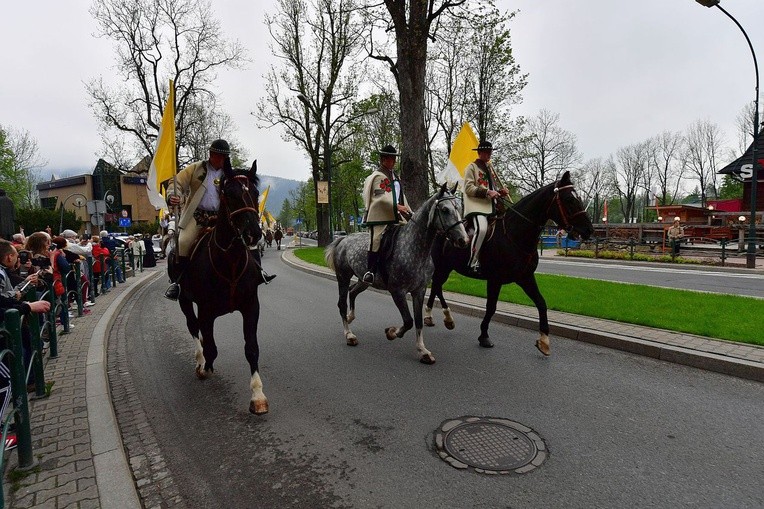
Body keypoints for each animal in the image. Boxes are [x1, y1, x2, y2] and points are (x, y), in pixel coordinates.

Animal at [174, 161, 272, 414]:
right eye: (230, 194)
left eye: (255, 193)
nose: (253, 234)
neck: (229, 262)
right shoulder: (206, 311)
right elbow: (210, 346)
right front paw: (205, 367)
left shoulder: (251, 306)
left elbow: (251, 348)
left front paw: (258, 396)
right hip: (184, 300)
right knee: (193, 327)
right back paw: (200, 361)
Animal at [324, 185, 468, 364]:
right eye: (445, 209)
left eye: (459, 208)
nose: (464, 240)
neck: (414, 249)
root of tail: (342, 239)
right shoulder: (397, 291)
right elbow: (408, 321)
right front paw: (392, 332)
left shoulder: (419, 291)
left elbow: (418, 321)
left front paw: (423, 351)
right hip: (343, 277)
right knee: (342, 303)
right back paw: (349, 335)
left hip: (364, 281)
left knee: (353, 292)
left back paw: (351, 317)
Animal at [426, 171, 592, 354]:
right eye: (569, 199)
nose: (589, 230)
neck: (515, 234)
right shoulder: (495, 280)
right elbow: (491, 307)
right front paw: (484, 335)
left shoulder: (525, 278)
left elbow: (541, 303)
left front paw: (544, 340)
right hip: (441, 267)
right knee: (436, 286)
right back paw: (436, 316)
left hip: (446, 268)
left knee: (437, 287)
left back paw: (441, 318)